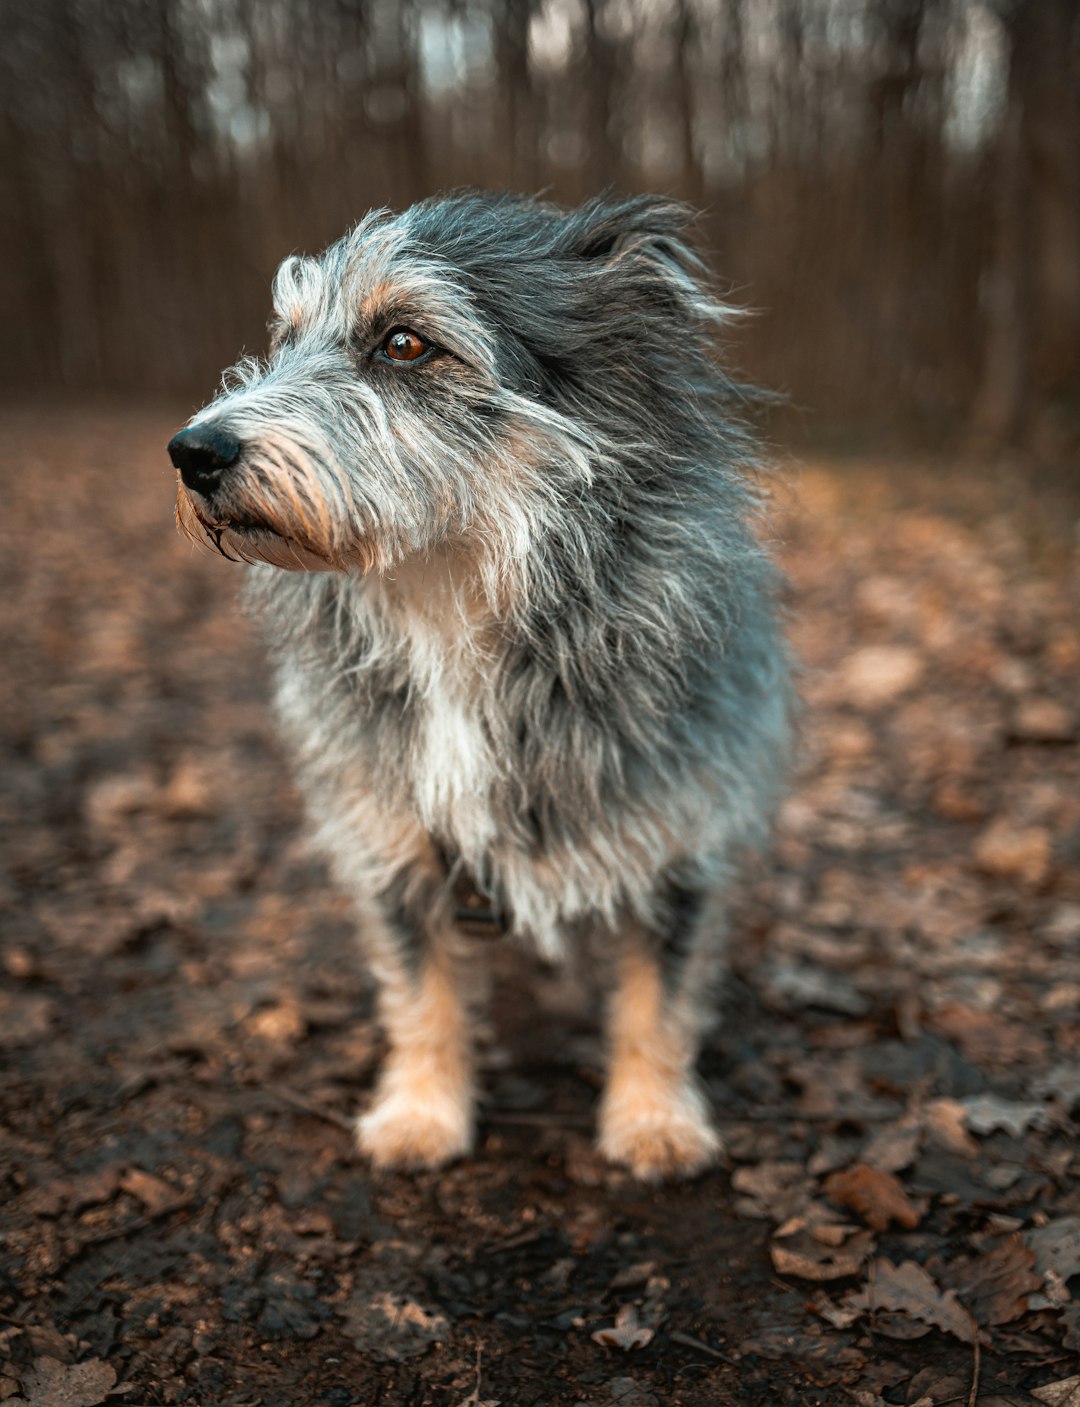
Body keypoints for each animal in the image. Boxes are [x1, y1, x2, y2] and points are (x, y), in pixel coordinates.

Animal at [168, 187, 793, 1176]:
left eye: (404, 342)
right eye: (287, 336)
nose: (193, 450)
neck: (449, 605)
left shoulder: (678, 837)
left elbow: (656, 999)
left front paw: (654, 1119)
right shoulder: (392, 840)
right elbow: (423, 996)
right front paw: (423, 1112)